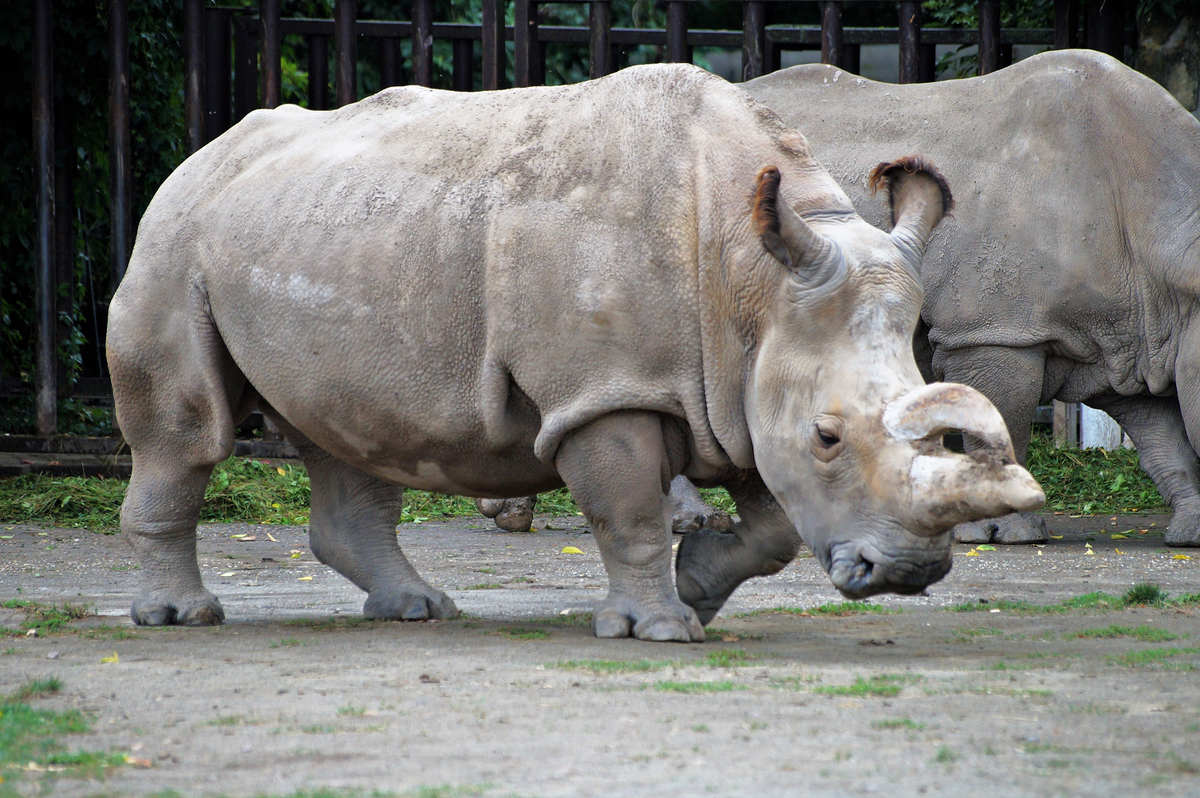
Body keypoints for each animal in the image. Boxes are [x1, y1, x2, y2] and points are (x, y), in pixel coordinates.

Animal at [108, 64, 1042, 642]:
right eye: (829, 435)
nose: (909, 573)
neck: (751, 282)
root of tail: (199, 157)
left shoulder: (743, 380)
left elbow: (774, 524)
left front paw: (699, 587)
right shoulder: (605, 389)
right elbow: (628, 511)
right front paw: (661, 628)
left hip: (323, 233)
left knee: (345, 431)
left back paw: (417, 609)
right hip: (175, 238)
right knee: (187, 433)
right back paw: (181, 618)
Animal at [738, 50, 1200, 547]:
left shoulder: (1132, 337)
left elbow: (1164, 438)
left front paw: (1190, 534)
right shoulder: (994, 331)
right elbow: (1003, 418)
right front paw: (1004, 532)